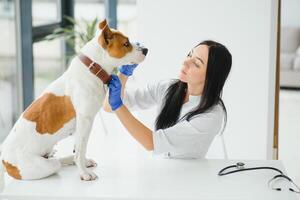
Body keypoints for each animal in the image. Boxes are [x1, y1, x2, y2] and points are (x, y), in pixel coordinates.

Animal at [0, 19, 148, 186]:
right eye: (126, 44)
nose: (146, 50)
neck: (93, 69)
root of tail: (4, 158)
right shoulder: (85, 120)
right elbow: (80, 149)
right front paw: (83, 173)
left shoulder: (82, 124)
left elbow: (79, 147)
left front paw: (83, 163)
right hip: (42, 165)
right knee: (56, 163)